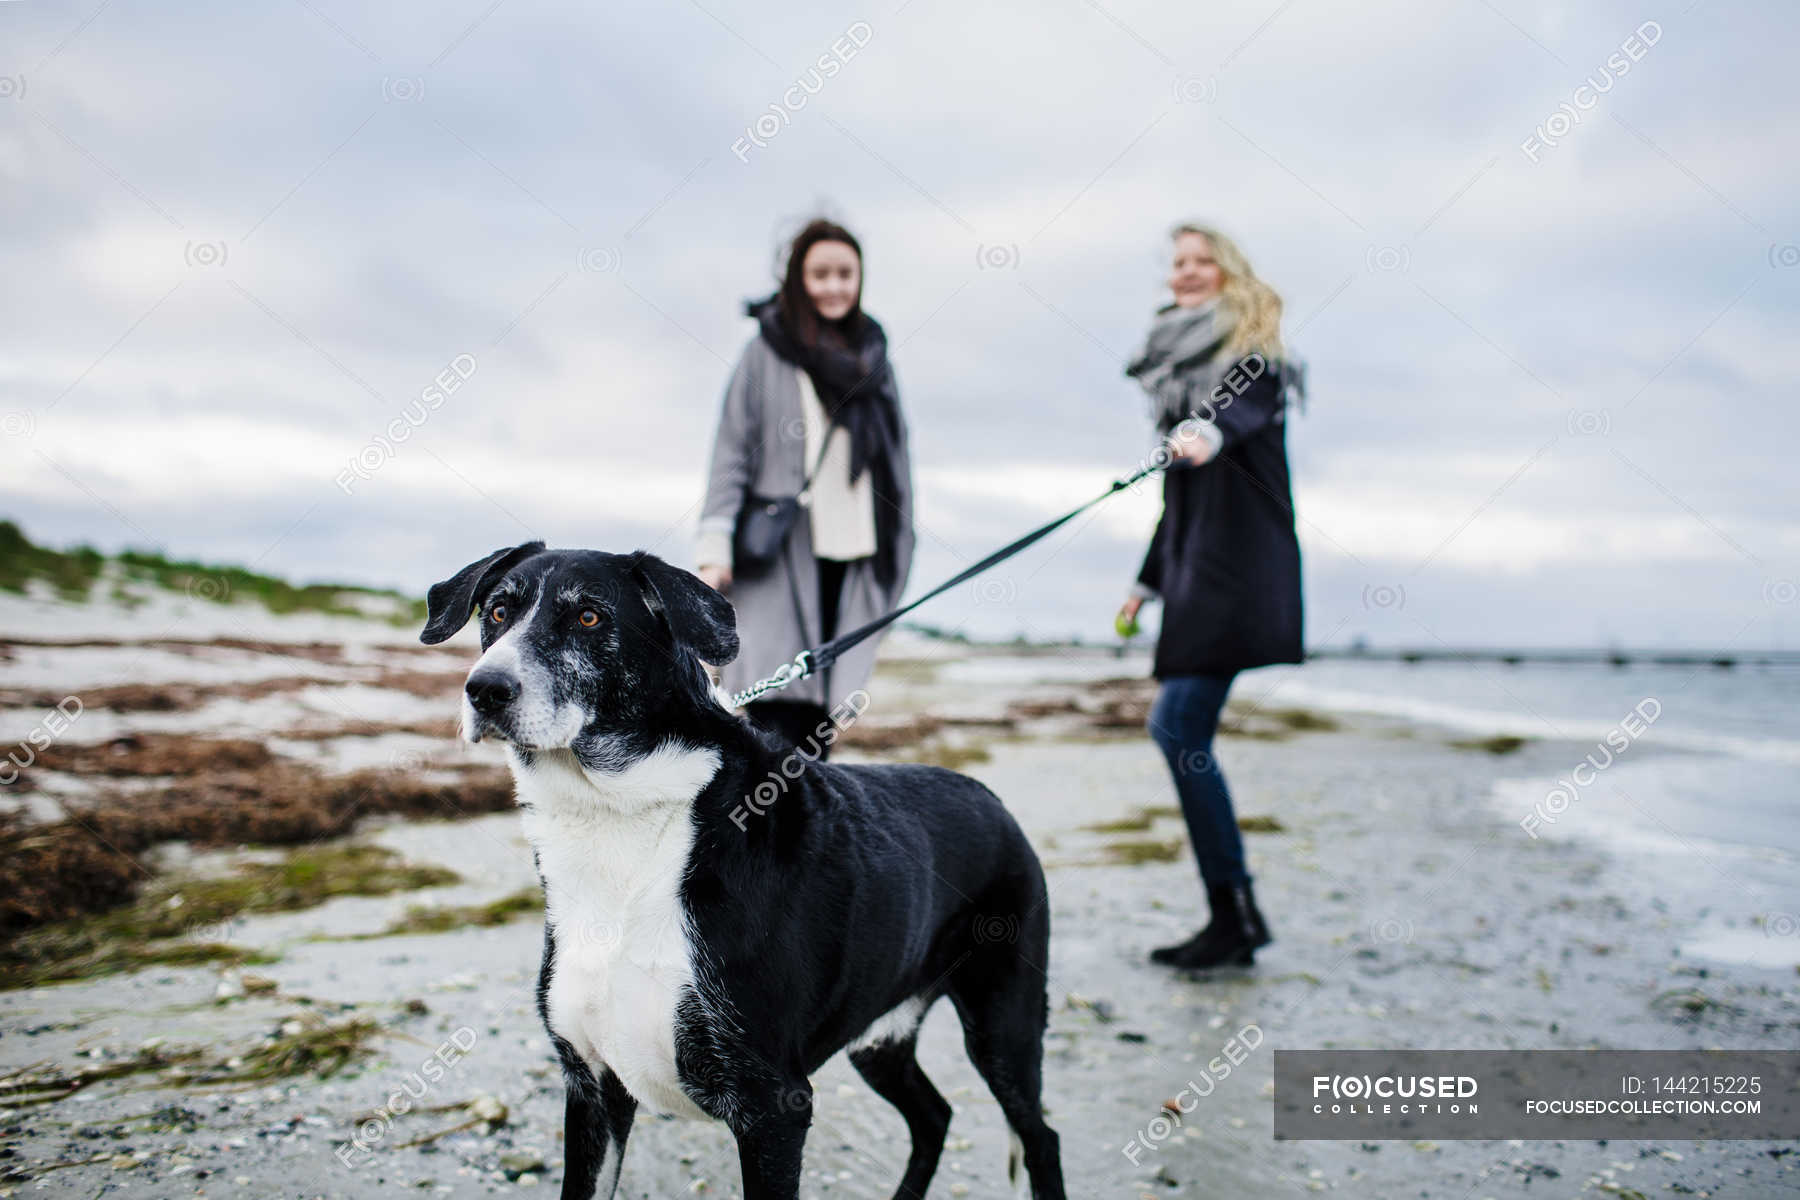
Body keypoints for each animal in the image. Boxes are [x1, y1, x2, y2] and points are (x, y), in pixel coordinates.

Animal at [417, 546, 1065, 1200]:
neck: (618, 812)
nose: (485, 689)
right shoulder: (593, 1087)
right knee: (934, 1116)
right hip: (881, 1037)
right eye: (498, 611)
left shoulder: (773, 1104)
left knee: (1039, 1135)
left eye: (590, 617)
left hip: (1003, 1024)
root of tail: (993, 800)